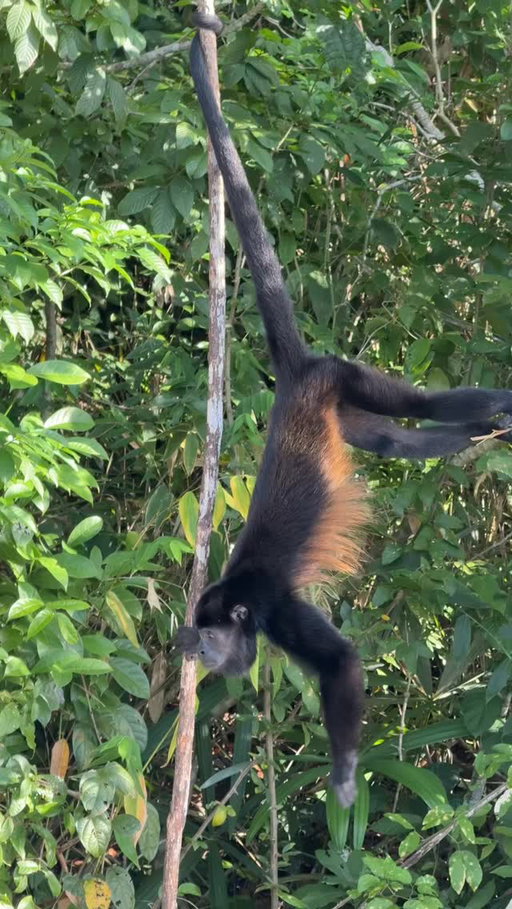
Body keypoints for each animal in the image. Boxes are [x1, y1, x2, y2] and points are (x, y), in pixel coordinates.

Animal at [176, 14, 512, 807]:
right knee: (395, 440)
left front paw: (347, 776)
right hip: (341, 408)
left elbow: (343, 662)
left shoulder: (275, 609)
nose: (200, 654)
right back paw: (476, 432)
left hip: (343, 373)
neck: (241, 603)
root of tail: (298, 373)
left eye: (214, 636)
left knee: (415, 402)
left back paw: (497, 406)